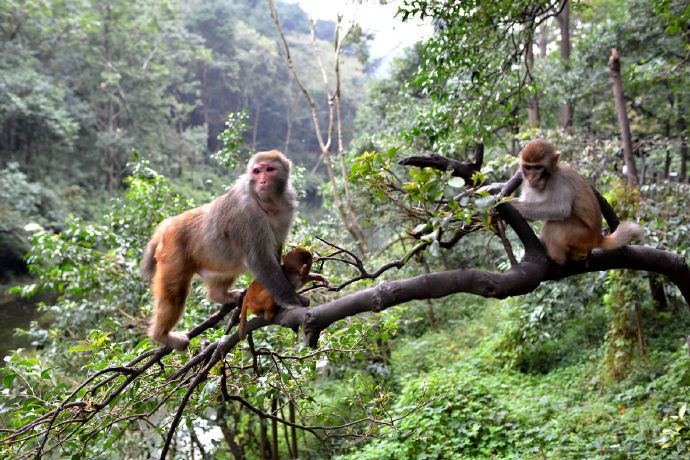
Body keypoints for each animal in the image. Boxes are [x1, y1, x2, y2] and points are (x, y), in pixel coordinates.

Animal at [141, 151, 306, 352]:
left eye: (269, 169)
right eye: (257, 171)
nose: (262, 181)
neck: (269, 202)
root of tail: (166, 225)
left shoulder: (287, 206)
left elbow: (274, 250)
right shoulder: (247, 215)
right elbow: (260, 260)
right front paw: (290, 301)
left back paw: (220, 295)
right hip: (173, 251)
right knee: (175, 293)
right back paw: (162, 335)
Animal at [508, 138, 644, 264]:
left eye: (538, 167)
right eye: (528, 167)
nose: (531, 177)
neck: (546, 179)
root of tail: (598, 237)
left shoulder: (560, 180)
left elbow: (560, 209)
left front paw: (514, 205)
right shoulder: (527, 183)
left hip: (582, 236)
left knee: (554, 226)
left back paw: (556, 258)